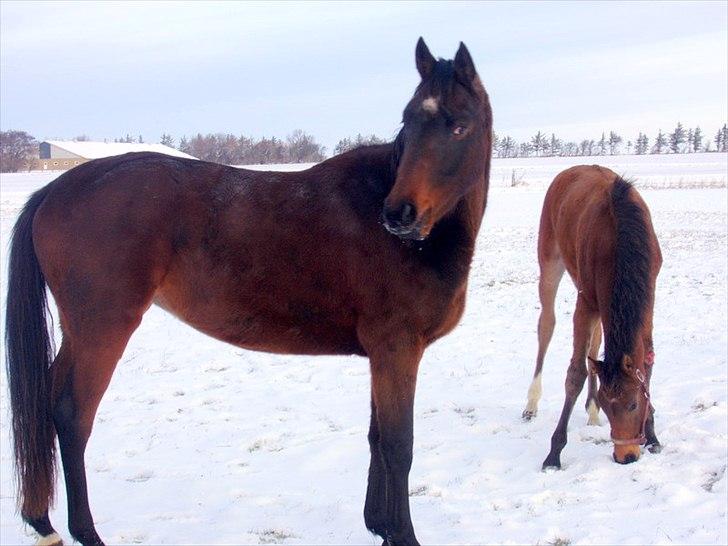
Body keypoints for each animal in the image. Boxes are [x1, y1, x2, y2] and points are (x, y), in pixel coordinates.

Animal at [2, 39, 492, 544]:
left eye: (459, 125)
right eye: (408, 121)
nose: (399, 214)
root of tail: (57, 188)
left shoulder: (384, 354)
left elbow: (377, 438)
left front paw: (378, 525)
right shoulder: (397, 349)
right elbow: (398, 445)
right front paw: (402, 533)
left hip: (80, 333)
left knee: (46, 403)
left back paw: (43, 522)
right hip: (103, 330)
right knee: (72, 415)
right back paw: (85, 531)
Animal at [520, 166, 664, 468]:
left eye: (634, 404)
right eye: (609, 404)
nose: (626, 457)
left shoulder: (648, 299)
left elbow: (647, 364)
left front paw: (653, 436)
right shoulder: (585, 301)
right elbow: (575, 373)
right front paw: (554, 453)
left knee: (596, 343)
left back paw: (591, 412)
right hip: (550, 262)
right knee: (546, 326)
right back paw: (531, 404)